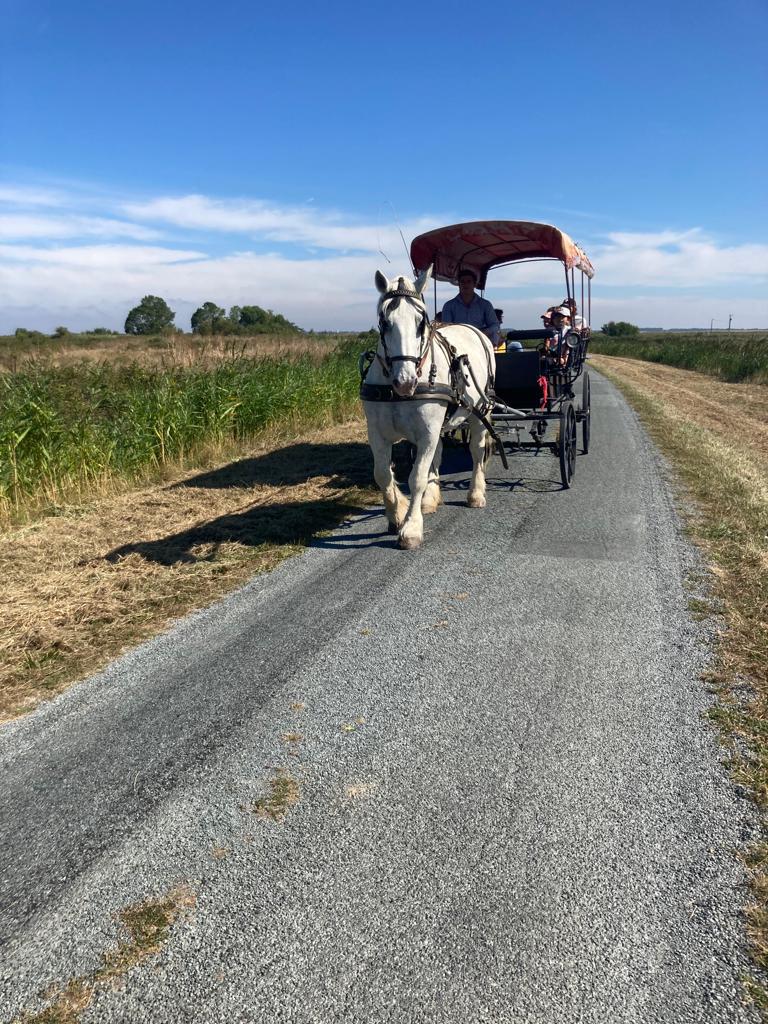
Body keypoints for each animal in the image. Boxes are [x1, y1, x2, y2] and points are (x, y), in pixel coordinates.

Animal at [360, 265, 496, 550]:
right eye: (384, 322)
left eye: (421, 322)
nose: (405, 382)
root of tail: (475, 330)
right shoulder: (377, 433)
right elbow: (383, 475)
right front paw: (397, 515)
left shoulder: (427, 432)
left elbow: (417, 477)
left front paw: (411, 528)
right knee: (438, 454)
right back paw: (430, 499)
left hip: (480, 412)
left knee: (477, 451)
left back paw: (476, 493)